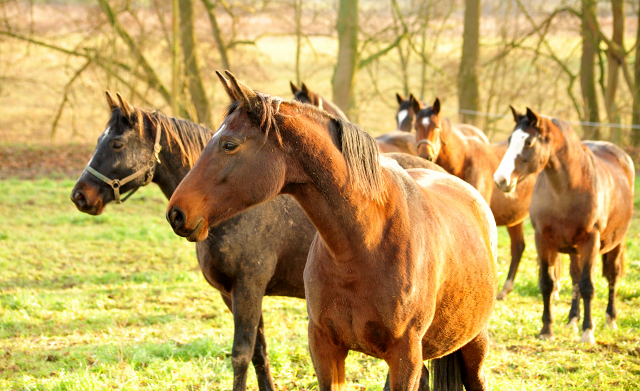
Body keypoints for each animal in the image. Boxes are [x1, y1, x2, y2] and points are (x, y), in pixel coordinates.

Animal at [168, 71, 498, 391]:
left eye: (229, 144)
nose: (176, 212)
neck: (364, 246)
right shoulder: (325, 348)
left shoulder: (405, 357)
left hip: (473, 344)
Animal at [492, 107, 632, 344]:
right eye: (510, 140)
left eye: (529, 142)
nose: (501, 179)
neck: (567, 191)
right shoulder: (543, 240)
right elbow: (547, 283)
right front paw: (546, 330)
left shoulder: (590, 242)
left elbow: (588, 286)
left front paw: (588, 332)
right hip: (575, 250)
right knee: (575, 277)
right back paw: (572, 320)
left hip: (616, 243)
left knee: (611, 276)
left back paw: (610, 319)